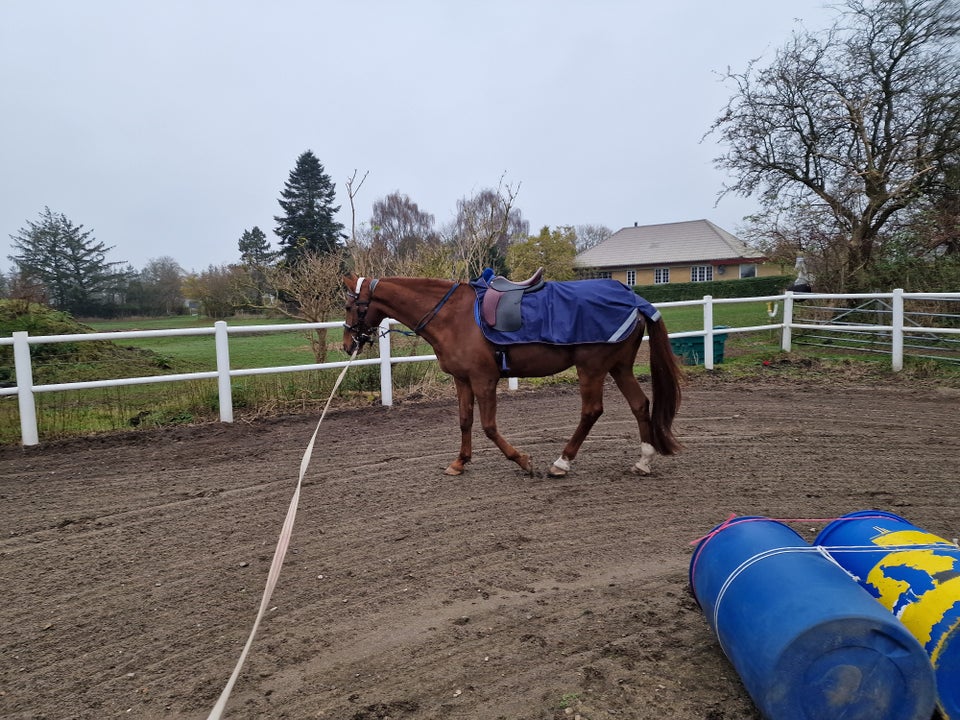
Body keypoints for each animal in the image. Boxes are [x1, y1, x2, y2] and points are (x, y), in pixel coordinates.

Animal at [340, 272, 684, 476]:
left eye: (348, 306)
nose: (346, 345)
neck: (452, 315)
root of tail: (634, 300)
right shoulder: (462, 380)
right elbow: (465, 421)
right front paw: (460, 462)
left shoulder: (484, 380)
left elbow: (489, 426)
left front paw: (522, 460)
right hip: (619, 367)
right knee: (639, 404)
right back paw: (643, 460)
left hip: (592, 368)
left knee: (591, 411)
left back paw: (562, 461)